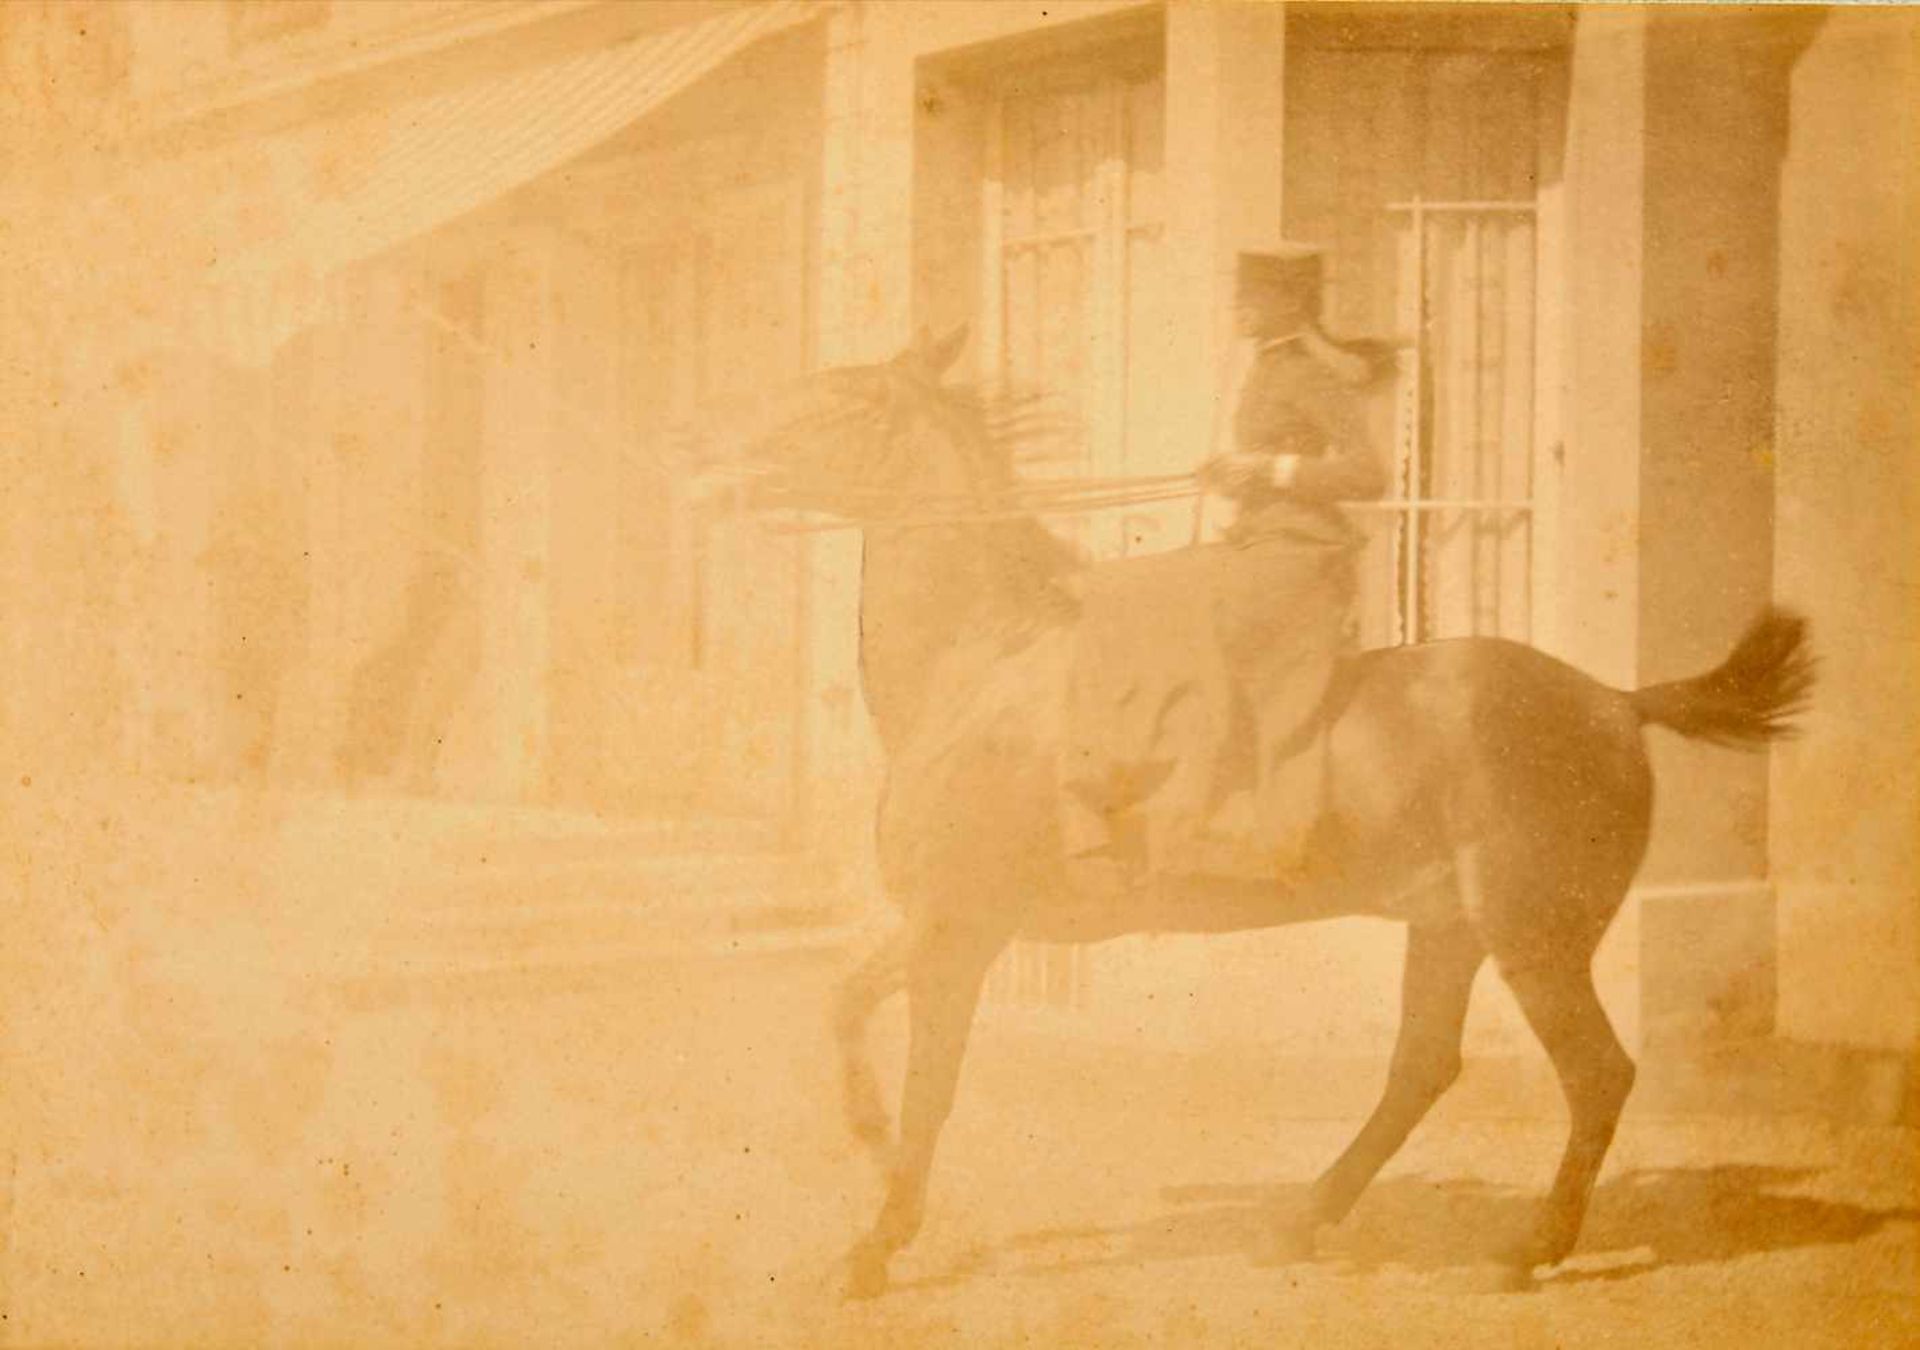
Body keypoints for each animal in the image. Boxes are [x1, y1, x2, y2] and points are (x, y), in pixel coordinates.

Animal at [691, 324, 1812, 1298]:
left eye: (841, 401)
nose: (709, 468)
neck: (987, 662)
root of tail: (1616, 700)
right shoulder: (947, 927)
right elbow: (847, 1013)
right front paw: (884, 1189)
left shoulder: (958, 929)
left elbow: (920, 1079)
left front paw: (880, 1233)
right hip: (1449, 929)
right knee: (1422, 1068)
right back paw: (1303, 1219)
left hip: (1534, 939)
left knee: (1596, 1077)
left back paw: (1525, 1249)